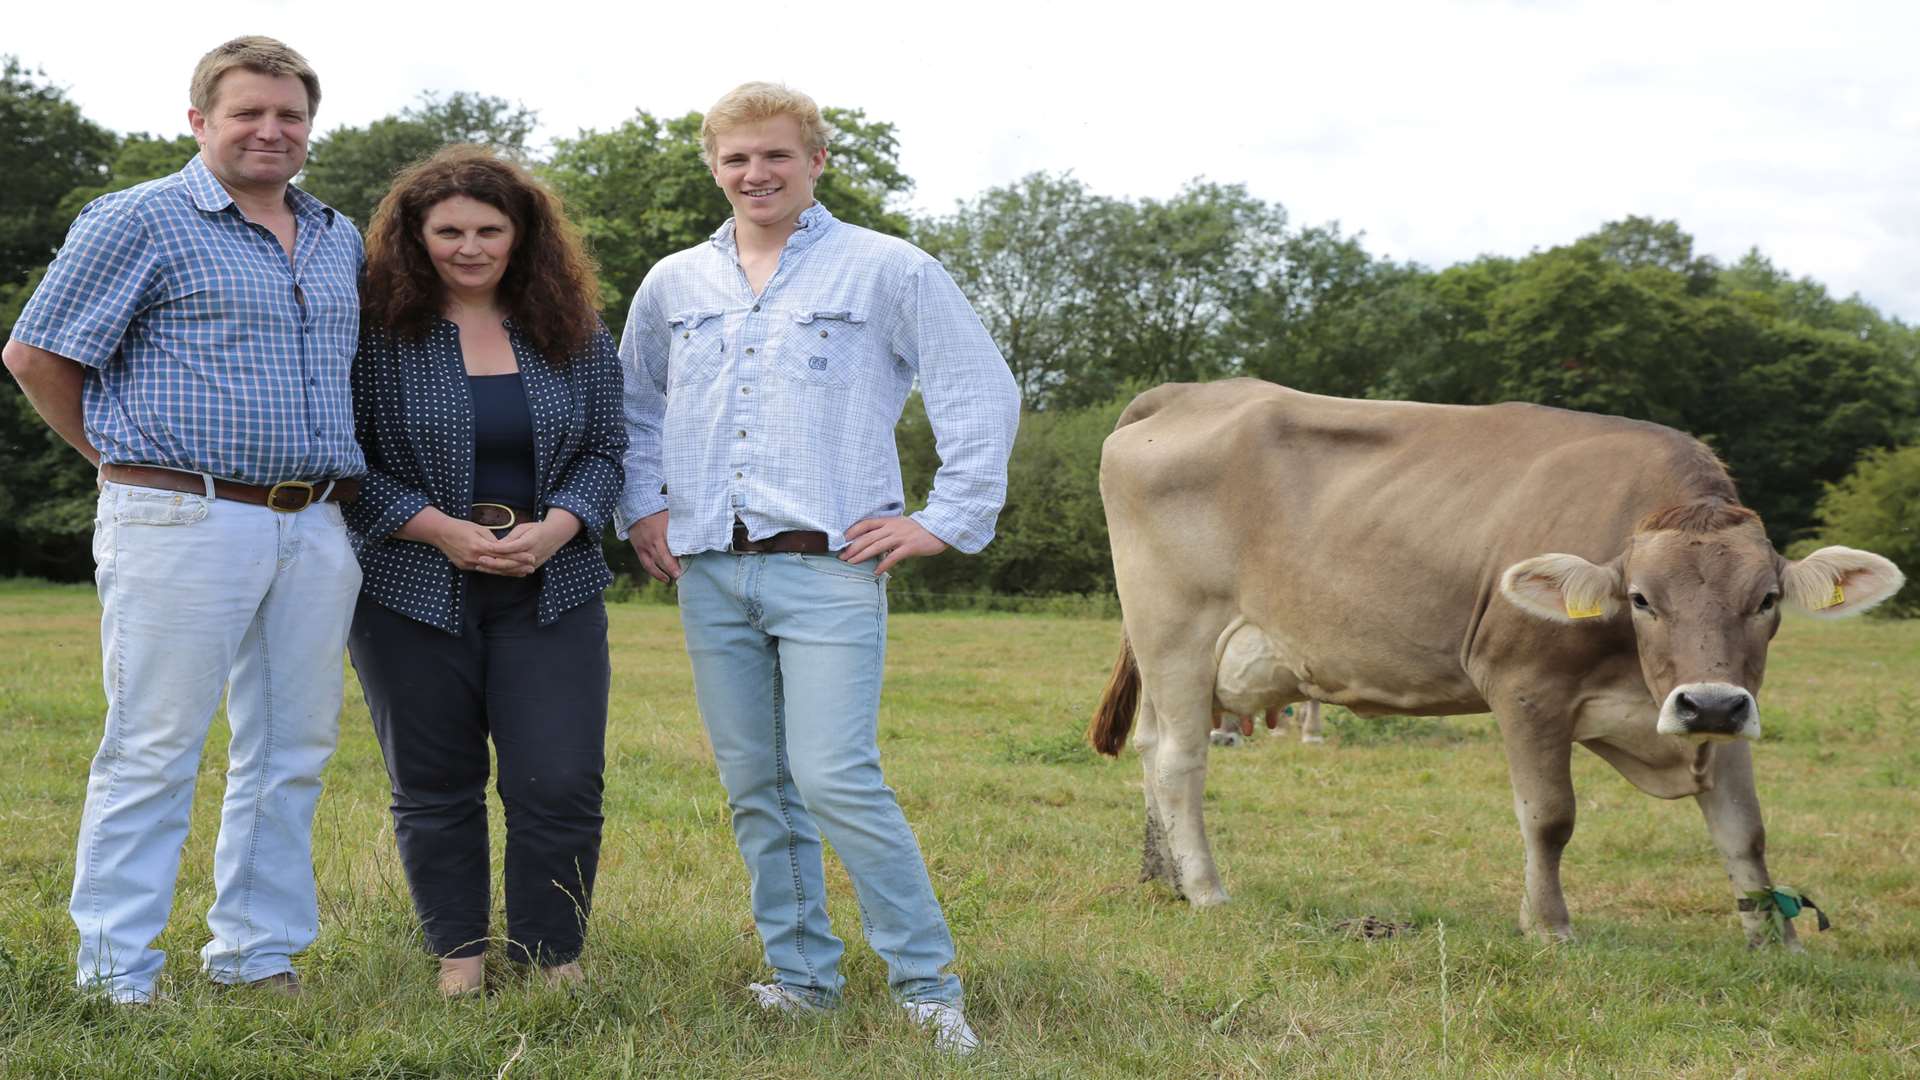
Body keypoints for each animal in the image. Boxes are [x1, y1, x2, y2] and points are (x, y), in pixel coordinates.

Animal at [1098, 380, 1904, 941]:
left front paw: (1772, 940)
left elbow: (1745, 829)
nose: (1707, 702)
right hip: (1177, 629)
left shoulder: (1726, 712)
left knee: (1149, 749)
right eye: (1641, 599)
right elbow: (1549, 817)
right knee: (1180, 760)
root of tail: (1192, 391)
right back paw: (1206, 890)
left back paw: (1162, 877)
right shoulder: (1525, 686)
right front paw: (1548, 926)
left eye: (1767, 599)